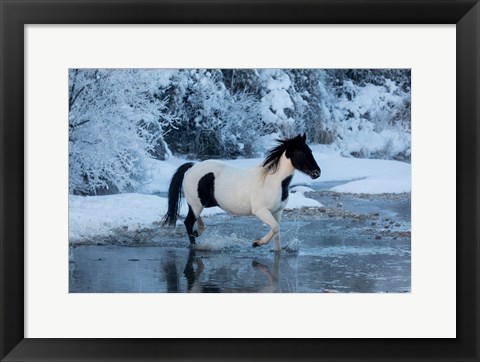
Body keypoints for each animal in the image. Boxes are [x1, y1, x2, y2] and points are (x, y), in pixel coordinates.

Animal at [163, 134, 320, 250]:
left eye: (311, 151)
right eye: (302, 152)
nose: (317, 173)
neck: (272, 181)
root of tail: (192, 167)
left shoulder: (277, 211)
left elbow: (277, 233)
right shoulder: (261, 211)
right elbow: (275, 228)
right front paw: (256, 243)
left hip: (200, 204)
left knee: (195, 221)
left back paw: (198, 232)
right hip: (197, 204)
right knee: (189, 222)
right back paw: (195, 244)